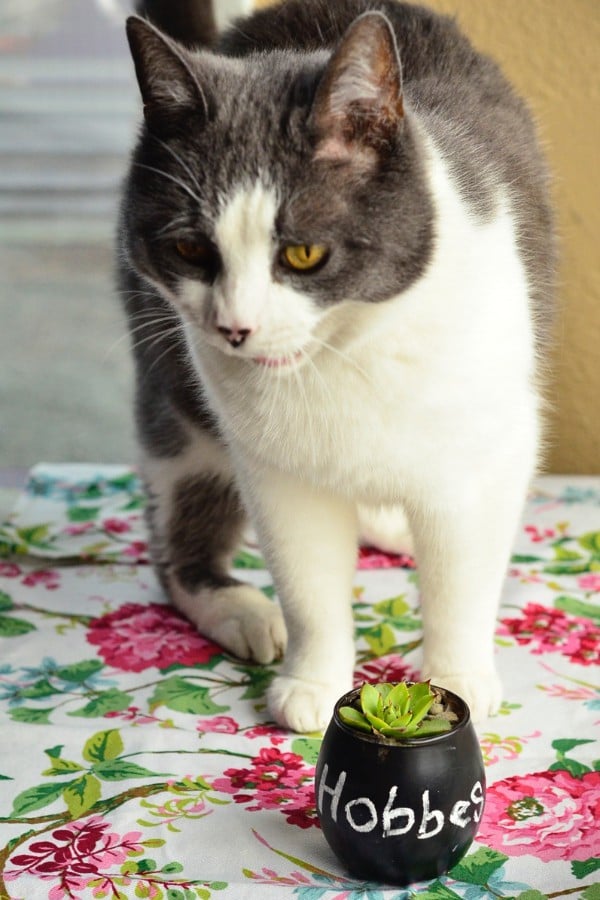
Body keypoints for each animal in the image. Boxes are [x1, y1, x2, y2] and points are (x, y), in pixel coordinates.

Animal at [119, 0, 556, 732]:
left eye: (303, 255)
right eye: (190, 249)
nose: (235, 327)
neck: (347, 351)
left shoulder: (489, 453)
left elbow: (462, 577)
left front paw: (458, 675)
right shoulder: (276, 470)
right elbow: (309, 582)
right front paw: (313, 682)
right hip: (177, 389)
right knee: (178, 533)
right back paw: (241, 611)